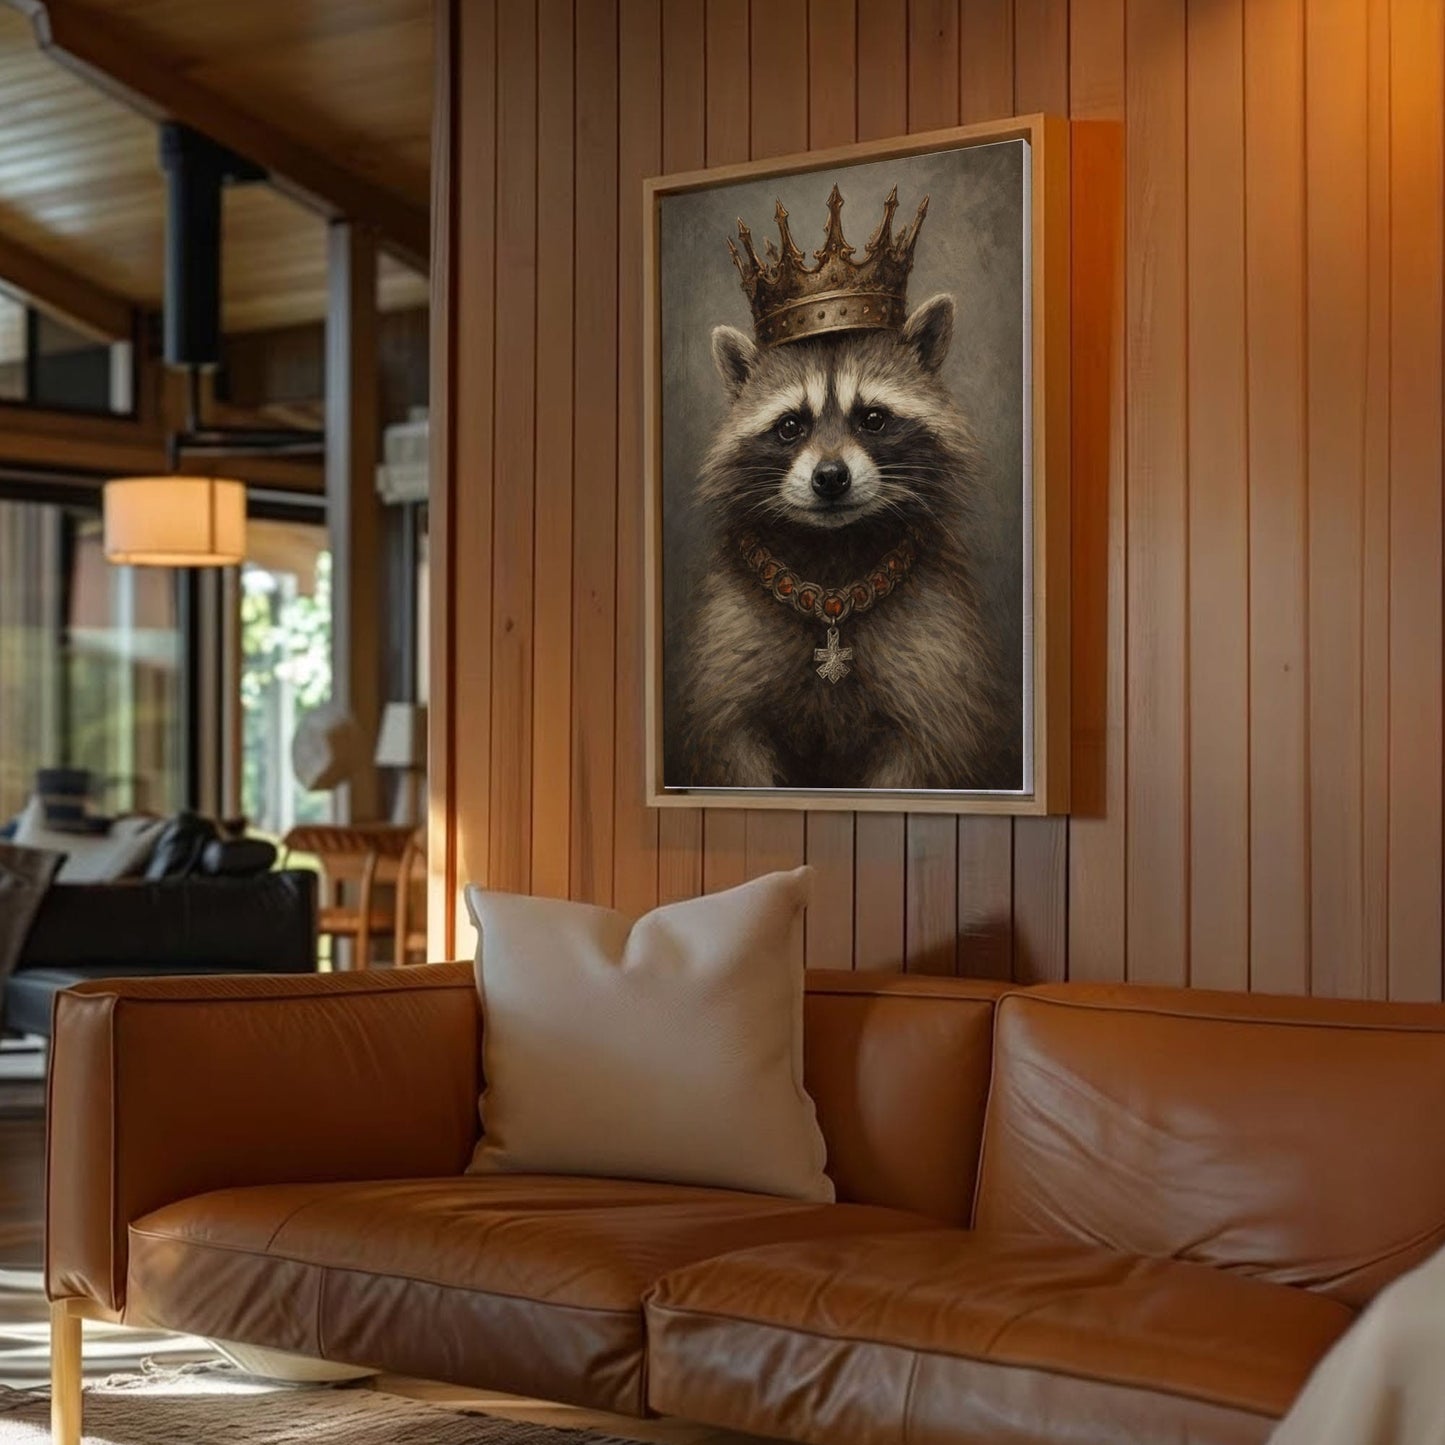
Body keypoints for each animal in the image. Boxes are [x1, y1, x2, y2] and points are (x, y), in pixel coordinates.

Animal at [678, 293, 1018, 791]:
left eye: (873, 419)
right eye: (790, 426)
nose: (831, 478)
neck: (834, 552)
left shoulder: (937, 662)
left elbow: (927, 752)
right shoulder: (730, 654)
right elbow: (732, 748)